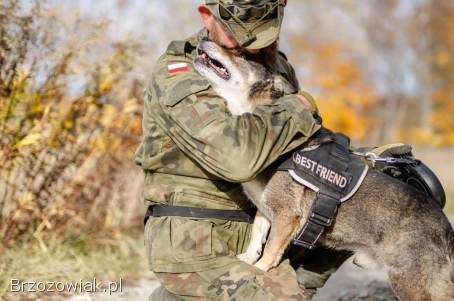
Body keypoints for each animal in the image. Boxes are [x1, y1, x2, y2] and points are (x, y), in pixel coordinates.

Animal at [194, 39, 454, 300]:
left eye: (240, 54)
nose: (203, 40)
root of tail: (446, 230)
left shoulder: (286, 216)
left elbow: (270, 250)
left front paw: (259, 269)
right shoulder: (266, 209)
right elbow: (257, 235)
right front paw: (247, 259)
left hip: (409, 281)